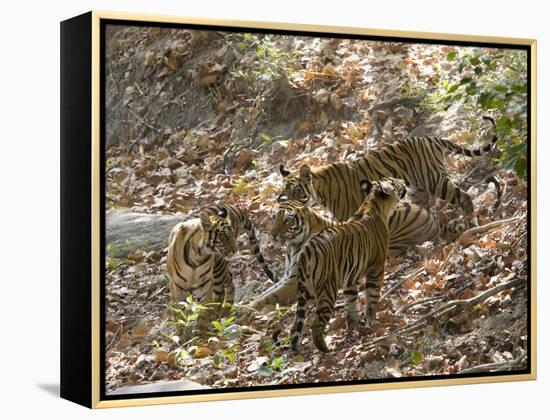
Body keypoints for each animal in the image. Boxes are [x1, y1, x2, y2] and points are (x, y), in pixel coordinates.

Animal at [166, 202, 274, 330]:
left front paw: (201, 329)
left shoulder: (206, 280)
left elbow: (204, 305)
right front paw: (181, 331)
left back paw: (219, 312)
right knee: (228, 280)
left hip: (218, 268)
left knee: (222, 289)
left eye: (231, 233)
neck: (198, 254)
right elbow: (178, 309)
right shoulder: (177, 284)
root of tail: (229, 206)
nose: (235, 250)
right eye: (223, 235)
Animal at [280, 115, 500, 220]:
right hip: (418, 188)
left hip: (435, 180)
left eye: (296, 191)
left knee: (465, 197)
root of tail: (431, 138)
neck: (319, 191)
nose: (288, 205)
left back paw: (471, 222)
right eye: (284, 193)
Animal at [282, 176, 408, 352]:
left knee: (295, 325)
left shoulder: (350, 278)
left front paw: (353, 327)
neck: (373, 203)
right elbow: (372, 297)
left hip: (304, 290)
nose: (404, 180)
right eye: (394, 181)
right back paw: (325, 349)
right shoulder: (376, 268)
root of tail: (306, 249)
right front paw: (371, 322)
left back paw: (294, 348)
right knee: (316, 322)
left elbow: (352, 302)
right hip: (327, 289)